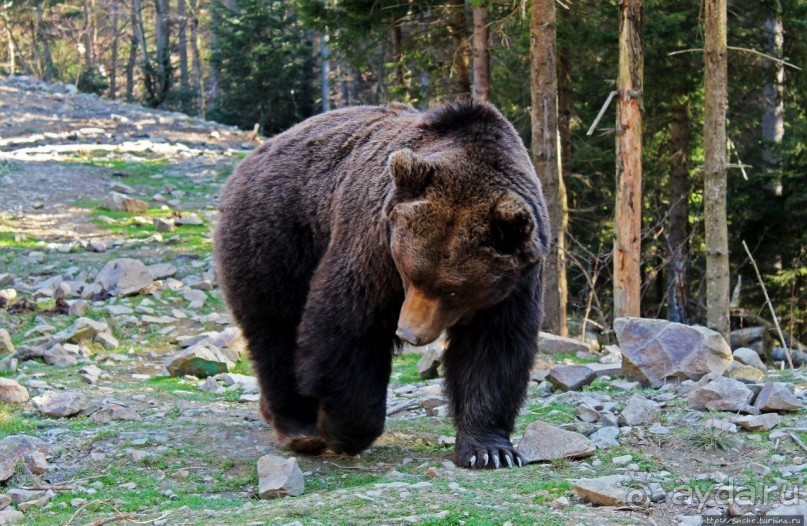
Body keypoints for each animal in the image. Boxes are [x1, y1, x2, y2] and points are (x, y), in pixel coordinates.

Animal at [215, 100, 548, 470]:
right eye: (410, 273)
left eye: (453, 289)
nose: (409, 333)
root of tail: (258, 152)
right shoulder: (374, 243)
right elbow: (349, 326)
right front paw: (345, 429)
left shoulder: (514, 283)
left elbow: (493, 350)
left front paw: (490, 450)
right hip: (277, 236)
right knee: (276, 330)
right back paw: (299, 427)